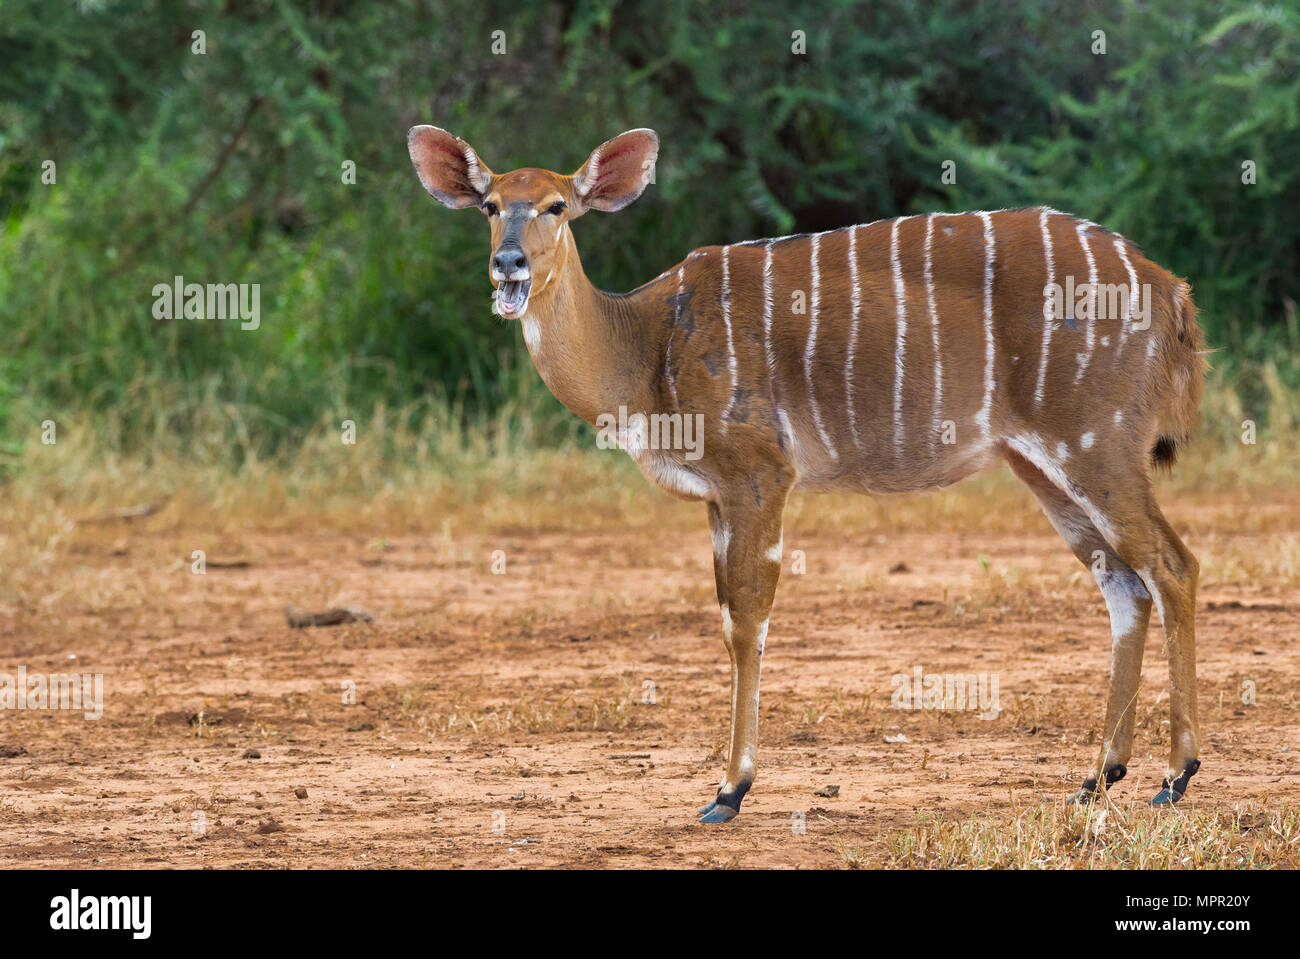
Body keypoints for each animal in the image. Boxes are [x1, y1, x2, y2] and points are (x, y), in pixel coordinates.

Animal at [405, 123, 1206, 816]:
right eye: (489, 205)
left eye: (557, 206)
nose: (508, 265)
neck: (648, 345)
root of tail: (1171, 288)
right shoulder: (716, 495)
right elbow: (727, 613)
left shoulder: (760, 471)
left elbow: (747, 619)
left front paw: (729, 790)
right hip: (1041, 464)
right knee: (1123, 581)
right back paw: (1099, 776)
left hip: (1094, 442)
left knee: (1173, 564)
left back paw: (1175, 776)